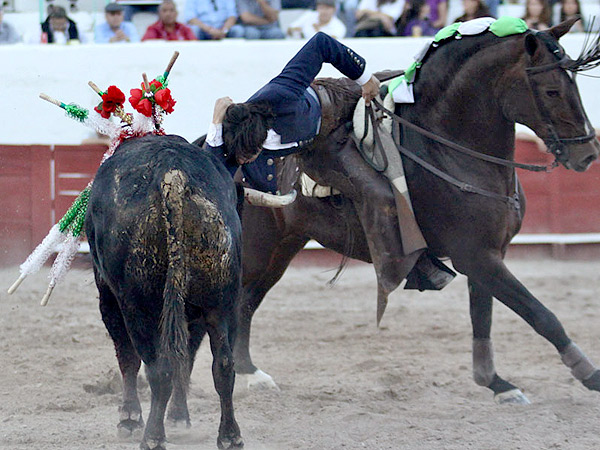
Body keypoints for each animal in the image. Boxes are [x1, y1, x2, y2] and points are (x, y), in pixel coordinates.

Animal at [231, 18, 600, 404]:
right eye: (551, 91)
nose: (587, 153)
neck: (449, 146)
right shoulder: (475, 256)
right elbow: (540, 314)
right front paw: (590, 375)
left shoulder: (487, 254)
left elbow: (482, 317)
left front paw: (496, 383)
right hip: (257, 248)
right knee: (236, 301)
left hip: (282, 248)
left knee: (246, 303)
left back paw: (251, 373)